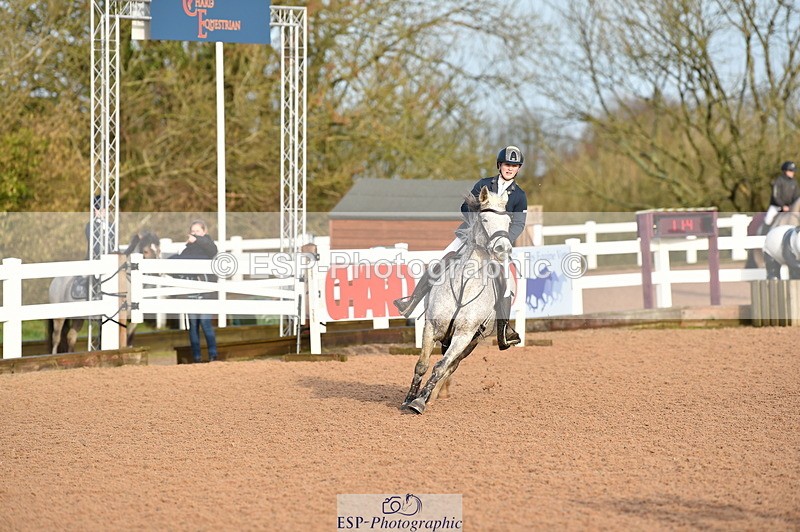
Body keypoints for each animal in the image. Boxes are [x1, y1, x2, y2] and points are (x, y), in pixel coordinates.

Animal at [402, 186, 513, 415]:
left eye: (508, 221)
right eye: (485, 219)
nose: (503, 249)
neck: (465, 286)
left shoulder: (464, 336)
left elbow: (441, 366)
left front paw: (419, 401)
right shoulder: (432, 327)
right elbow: (422, 364)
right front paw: (409, 398)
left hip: (471, 343)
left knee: (450, 366)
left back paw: (431, 396)